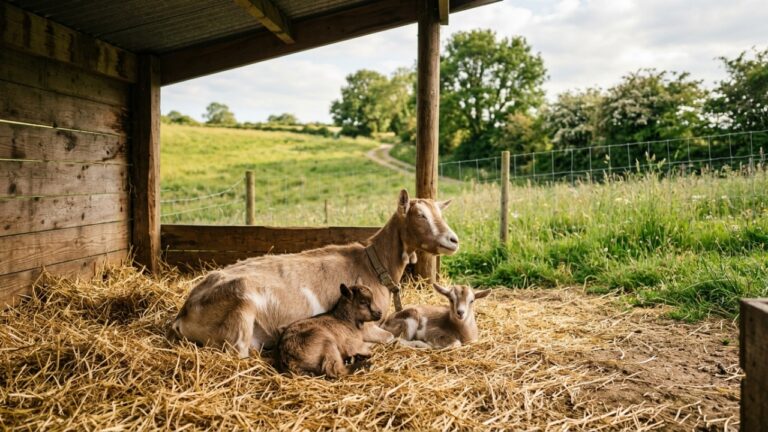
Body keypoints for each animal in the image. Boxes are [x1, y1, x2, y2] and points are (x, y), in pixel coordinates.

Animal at [169, 189, 459, 358]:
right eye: (420, 215)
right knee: (239, 350)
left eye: (439, 212)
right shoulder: (365, 324)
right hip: (241, 304)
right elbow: (391, 339)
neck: (372, 262)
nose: (453, 240)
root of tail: (183, 314)